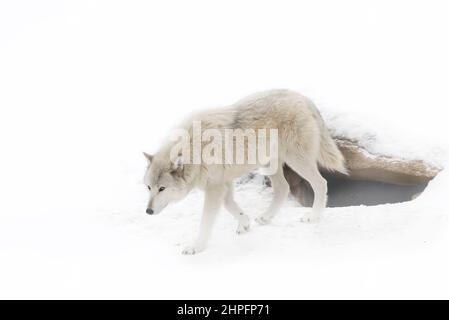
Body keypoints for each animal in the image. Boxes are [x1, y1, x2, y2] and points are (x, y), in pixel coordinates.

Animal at [142, 89, 344, 254]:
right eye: (149, 188)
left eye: (162, 189)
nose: (148, 211)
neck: (195, 149)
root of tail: (302, 97)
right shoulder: (224, 184)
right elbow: (231, 206)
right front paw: (244, 223)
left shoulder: (215, 188)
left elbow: (206, 222)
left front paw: (196, 247)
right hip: (269, 165)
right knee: (283, 189)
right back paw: (265, 218)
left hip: (296, 161)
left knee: (321, 183)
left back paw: (313, 216)